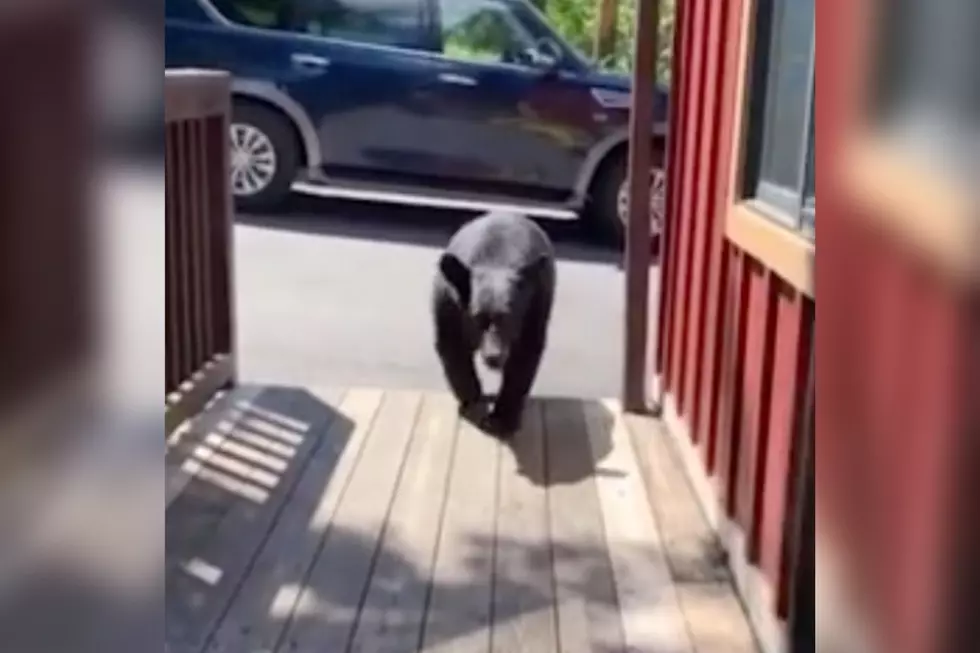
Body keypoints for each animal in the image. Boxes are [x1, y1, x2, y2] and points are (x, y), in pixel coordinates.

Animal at [432, 210, 556, 432]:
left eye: (508, 317)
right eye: (477, 317)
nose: (493, 357)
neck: (496, 261)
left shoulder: (534, 306)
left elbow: (525, 357)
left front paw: (503, 418)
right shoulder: (448, 304)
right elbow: (452, 350)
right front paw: (472, 398)